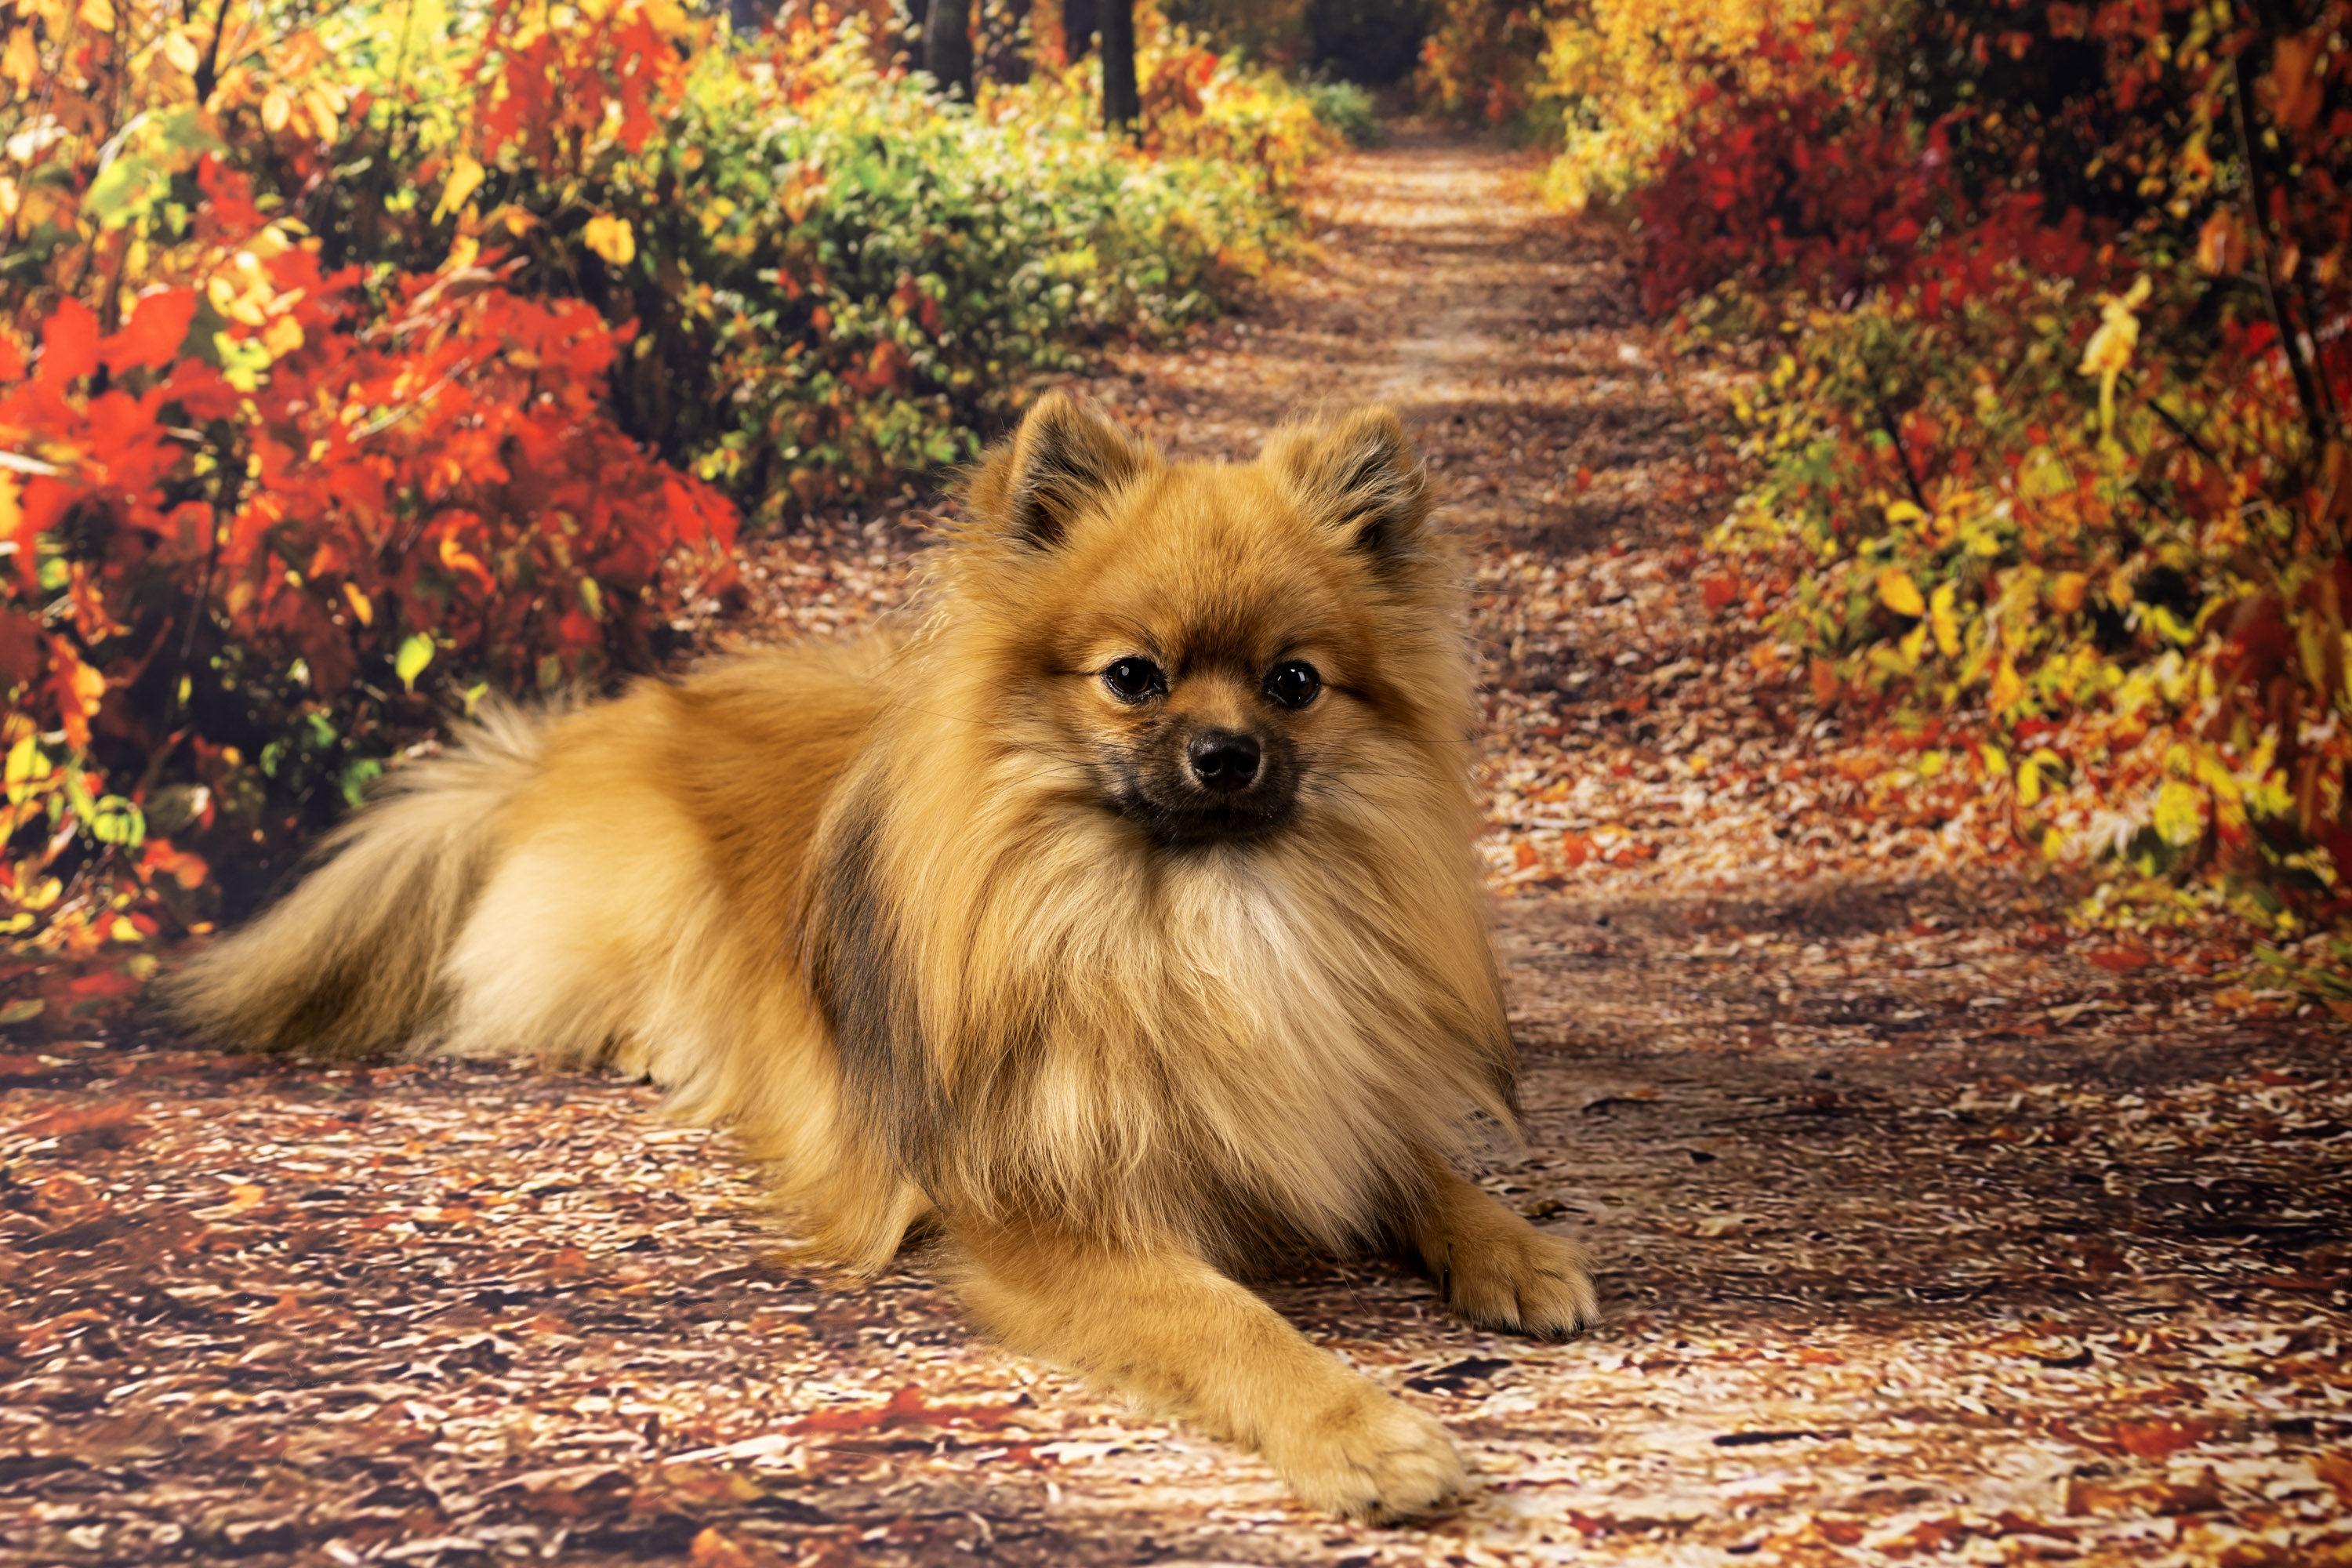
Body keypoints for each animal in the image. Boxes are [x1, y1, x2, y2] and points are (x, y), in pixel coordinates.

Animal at [170, 392, 1599, 1523]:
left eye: (1294, 684)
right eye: (1134, 678)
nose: (1225, 755)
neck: (1197, 915)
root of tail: (562, 743)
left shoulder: (1329, 1095)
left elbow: (1428, 1172)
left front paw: (1518, 1251)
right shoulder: (1049, 1205)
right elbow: (1234, 1322)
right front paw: (1364, 1432)